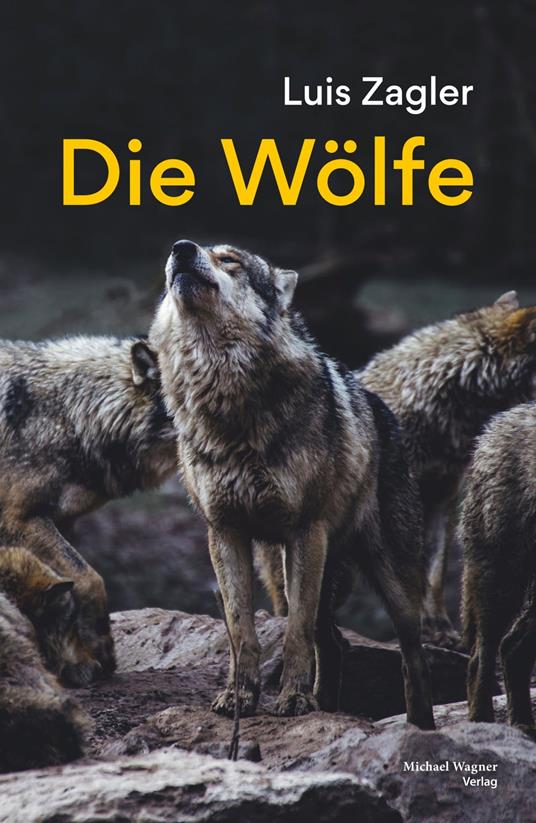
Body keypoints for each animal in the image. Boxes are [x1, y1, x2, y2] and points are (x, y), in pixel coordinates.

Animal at [0, 336, 176, 679]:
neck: (72, 415)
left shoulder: (61, 521)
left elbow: (66, 586)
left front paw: (78, 658)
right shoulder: (20, 518)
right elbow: (90, 578)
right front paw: (99, 651)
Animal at [150, 238, 435, 728]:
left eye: (231, 260)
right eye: (184, 252)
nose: (181, 249)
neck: (226, 400)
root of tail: (383, 408)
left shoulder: (304, 530)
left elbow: (295, 633)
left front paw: (295, 701)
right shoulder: (224, 532)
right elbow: (240, 629)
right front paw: (240, 698)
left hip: (389, 580)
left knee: (411, 658)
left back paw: (420, 727)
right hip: (288, 569)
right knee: (335, 643)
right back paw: (328, 706)